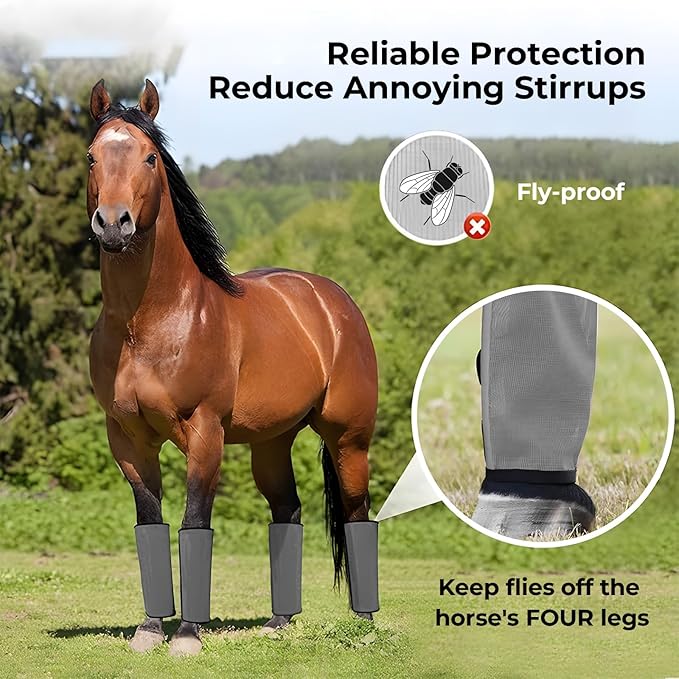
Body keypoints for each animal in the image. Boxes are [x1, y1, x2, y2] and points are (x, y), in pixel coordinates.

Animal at [87, 79, 379, 656]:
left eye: (151, 157)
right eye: (90, 157)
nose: (113, 224)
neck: (149, 324)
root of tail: (333, 300)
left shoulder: (205, 433)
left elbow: (194, 521)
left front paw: (187, 637)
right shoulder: (127, 439)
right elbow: (150, 521)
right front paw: (149, 630)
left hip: (349, 439)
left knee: (358, 513)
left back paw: (363, 625)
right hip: (271, 443)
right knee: (287, 510)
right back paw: (280, 622)